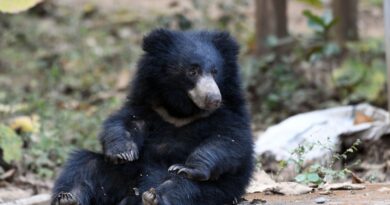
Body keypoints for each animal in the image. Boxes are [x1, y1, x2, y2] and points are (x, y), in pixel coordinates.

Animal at [50, 28, 254, 205]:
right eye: (192, 71)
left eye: (215, 71)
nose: (213, 99)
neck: (181, 110)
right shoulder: (148, 105)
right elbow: (124, 122)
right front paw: (122, 152)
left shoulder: (228, 113)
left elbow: (228, 141)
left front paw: (188, 167)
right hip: (122, 176)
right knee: (84, 165)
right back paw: (69, 198)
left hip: (214, 191)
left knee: (182, 186)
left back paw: (153, 197)